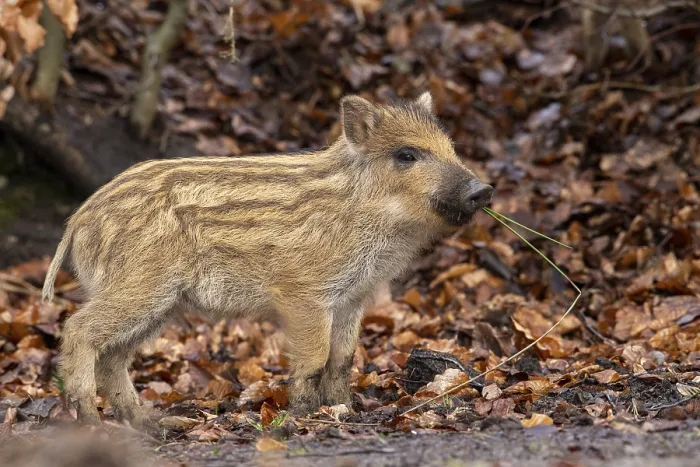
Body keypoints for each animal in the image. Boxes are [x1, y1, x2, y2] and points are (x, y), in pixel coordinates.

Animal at [42, 92, 493, 426]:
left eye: (450, 147)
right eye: (406, 155)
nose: (483, 190)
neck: (366, 215)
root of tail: (78, 219)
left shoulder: (353, 297)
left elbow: (343, 358)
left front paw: (345, 411)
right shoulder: (302, 292)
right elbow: (315, 357)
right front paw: (303, 415)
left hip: (161, 302)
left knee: (113, 357)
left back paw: (148, 424)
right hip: (140, 285)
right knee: (78, 329)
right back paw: (92, 420)